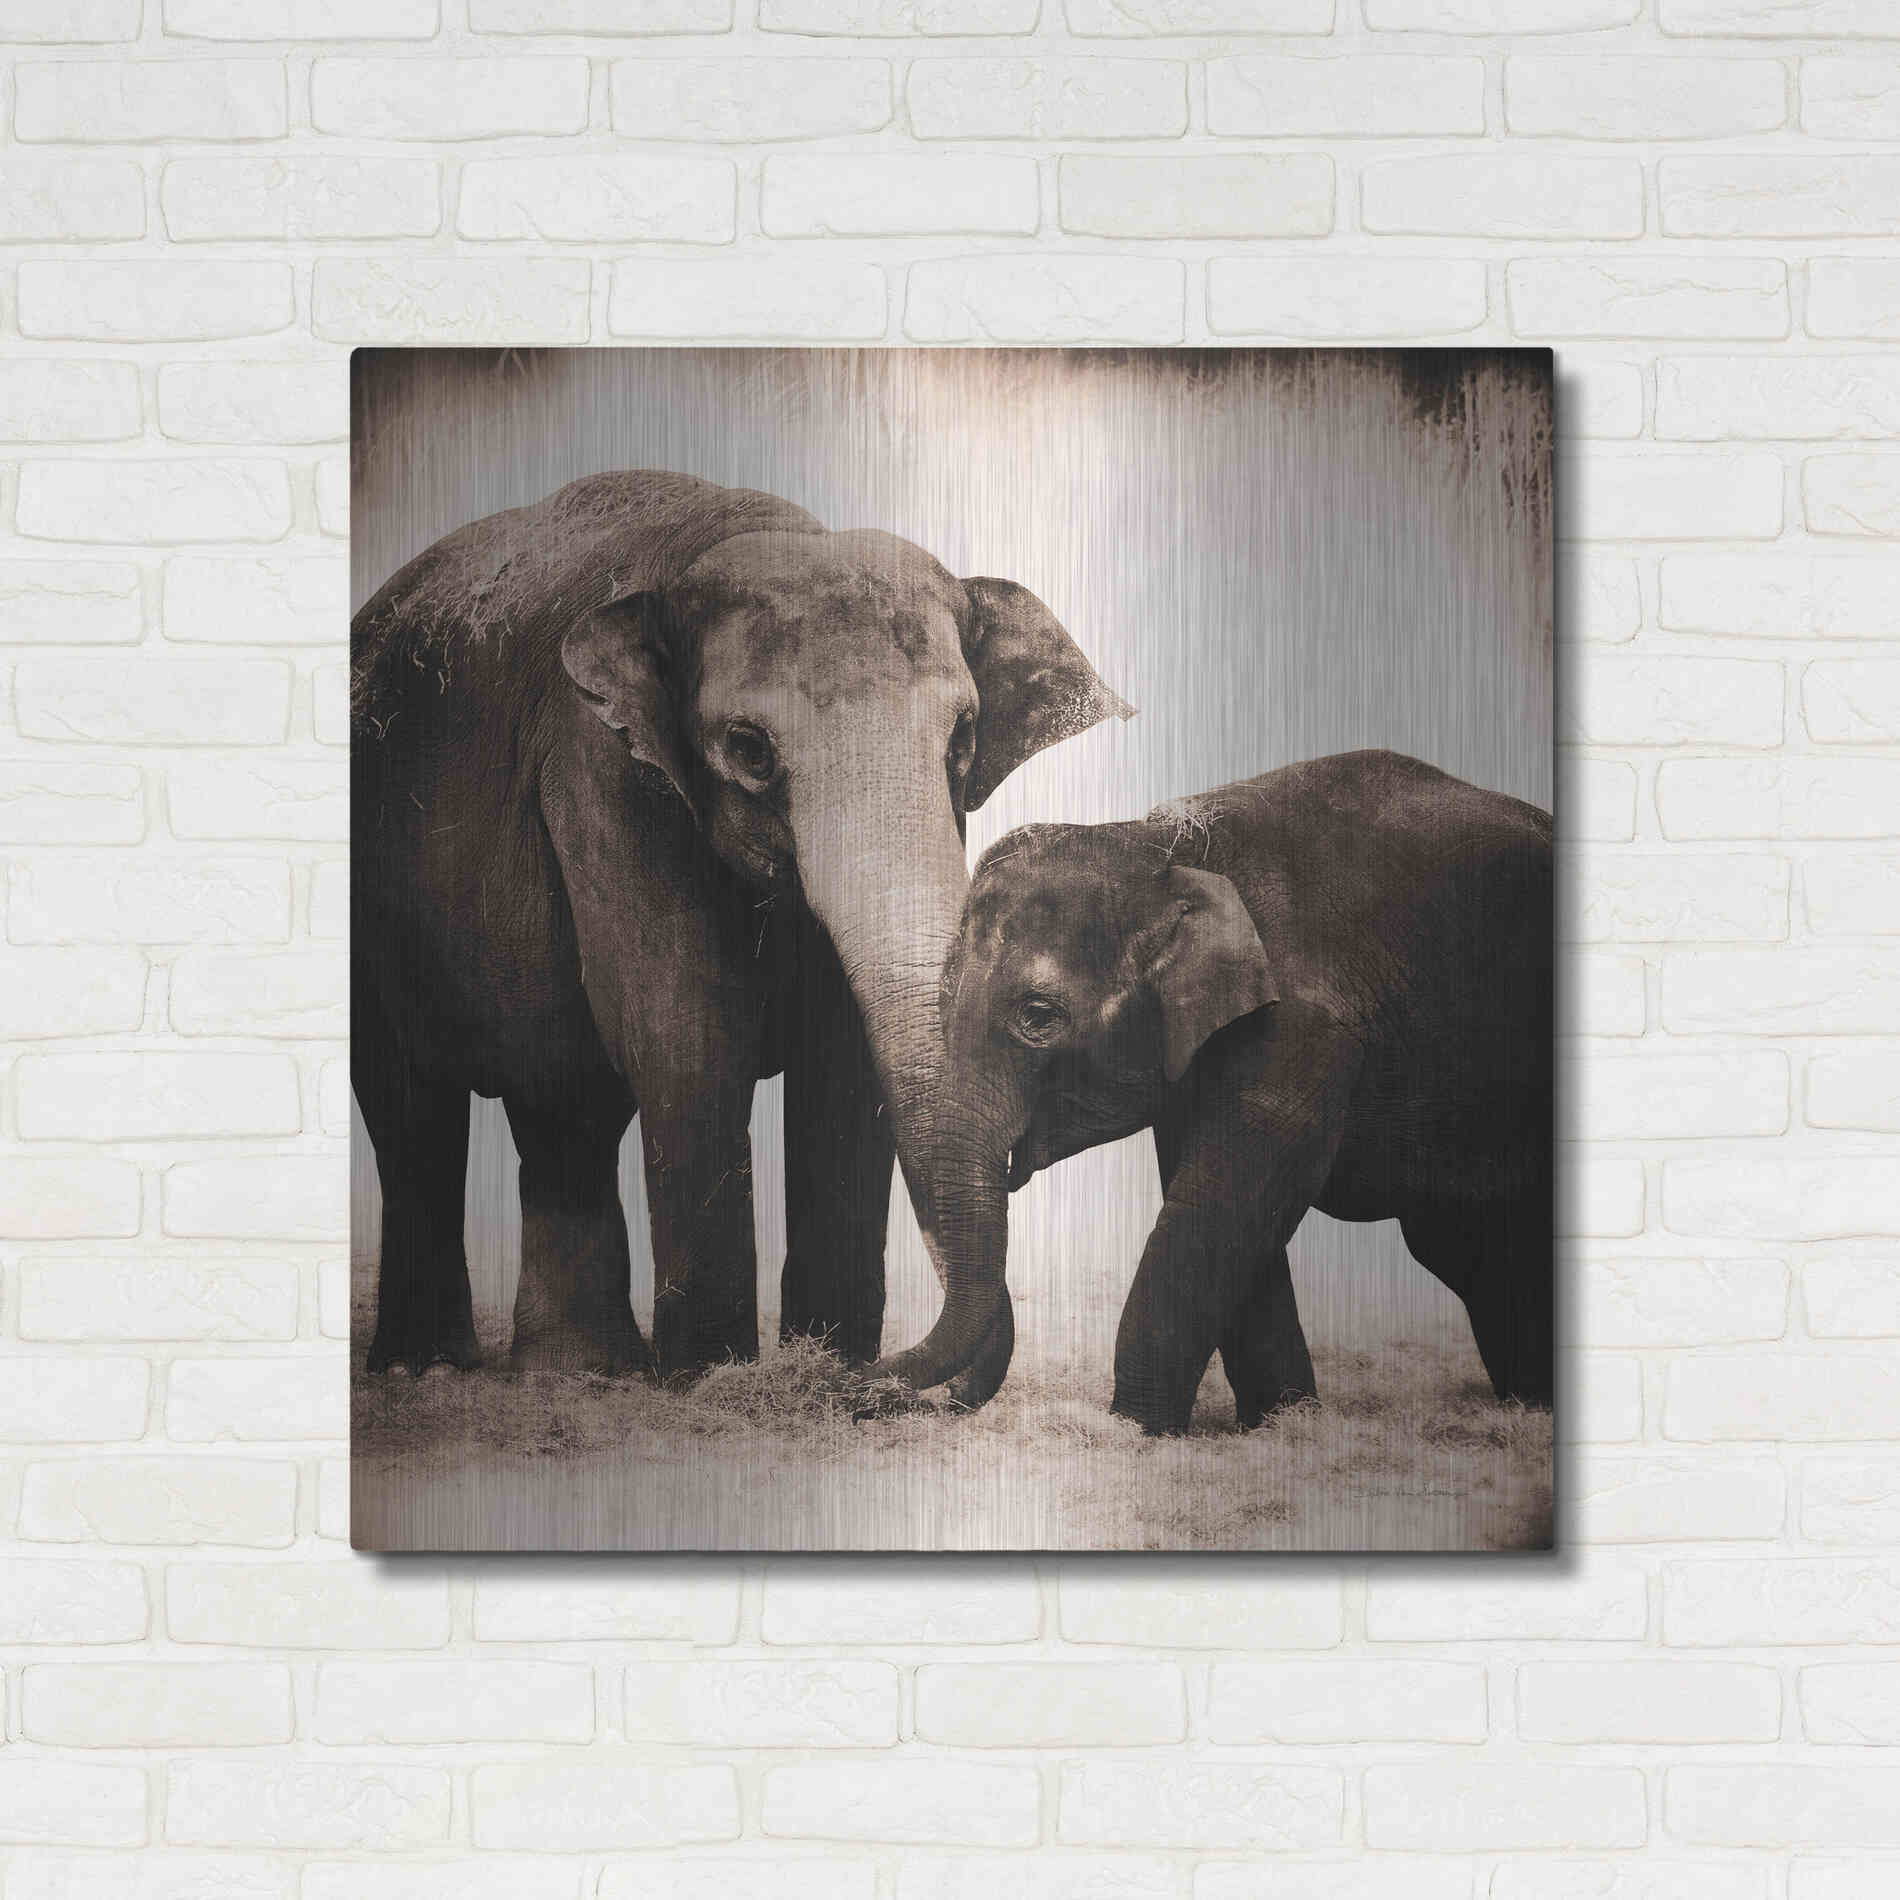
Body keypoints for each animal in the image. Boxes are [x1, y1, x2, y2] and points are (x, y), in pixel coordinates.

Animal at [352, 469, 1129, 1377]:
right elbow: (685, 1034)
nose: (886, 1372)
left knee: (561, 1108)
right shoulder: (604, 770)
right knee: (413, 1113)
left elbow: (845, 1059)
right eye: (750, 750)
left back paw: (580, 1373)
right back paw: (431, 1367)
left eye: (963, 736)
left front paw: (824, 1371)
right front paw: (711, 1378)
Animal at [872, 749, 1553, 1436]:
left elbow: (1222, 1199)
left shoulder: (1302, 1026)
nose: (871, 1381)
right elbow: (1222, 1203)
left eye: (1038, 1016)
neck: (1168, 849)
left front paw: (1136, 1431)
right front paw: (1278, 1425)